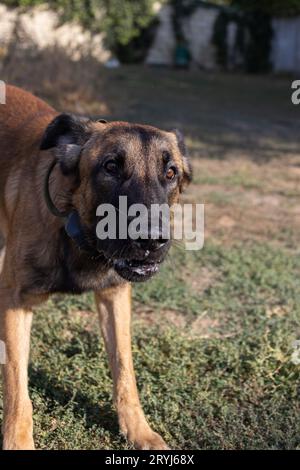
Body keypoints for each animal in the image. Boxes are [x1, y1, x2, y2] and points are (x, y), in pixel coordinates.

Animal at [0, 85, 191, 452]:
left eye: (170, 172)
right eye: (111, 166)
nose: (152, 240)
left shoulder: (115, 296)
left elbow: (124, 368)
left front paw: (138, 430)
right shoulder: (15, 302)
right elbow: (17, 383)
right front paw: (18, 440)